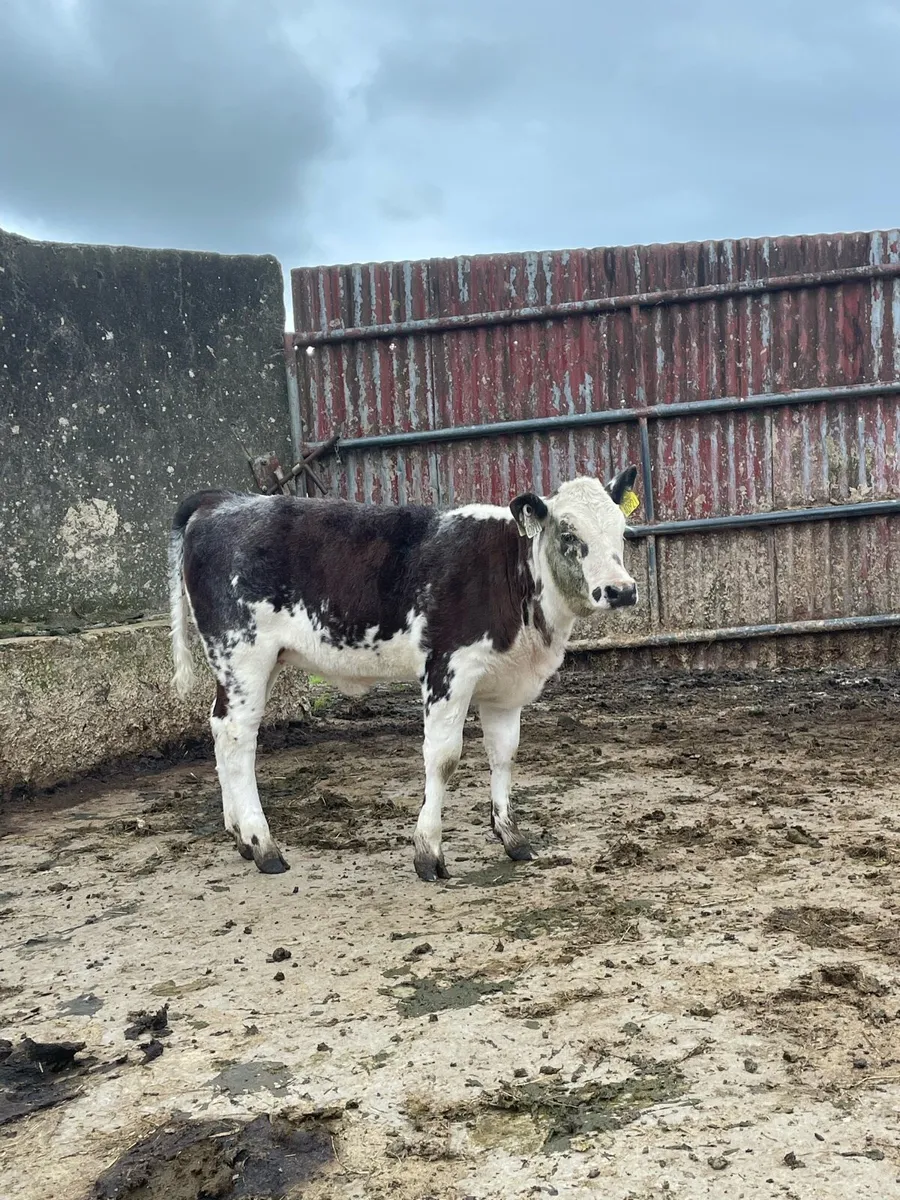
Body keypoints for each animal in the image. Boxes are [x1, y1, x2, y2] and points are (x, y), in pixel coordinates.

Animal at [168, 469, 640, 881]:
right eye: (569, 534)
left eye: (621, 530)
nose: (621, 590)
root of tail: (222, 501)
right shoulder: (448, 669)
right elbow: (443, 759)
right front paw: (428, 853)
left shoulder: (505, 684)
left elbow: (504, 754)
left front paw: (512, 839)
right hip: (243, 654)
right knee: (238, 738)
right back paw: (264, 846)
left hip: (254, 664)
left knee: (220, 728)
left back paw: (241, 838)